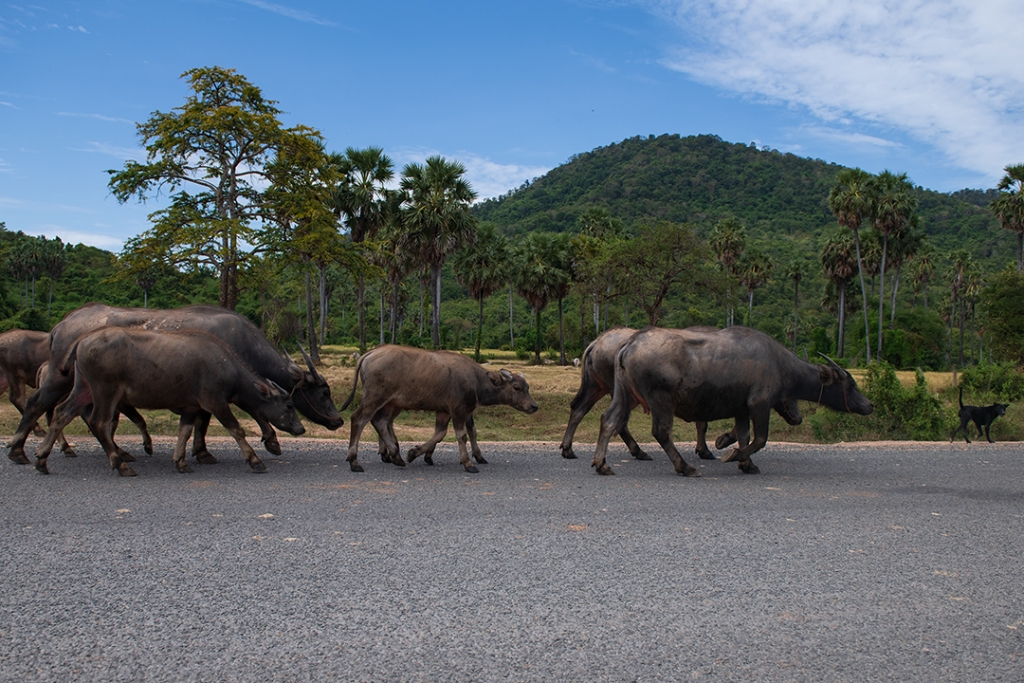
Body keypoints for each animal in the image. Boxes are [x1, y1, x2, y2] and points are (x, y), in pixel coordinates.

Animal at [34, 328, 305, 476]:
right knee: (99, 422)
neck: (226, 366)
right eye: (289, 406)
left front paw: (181, 462)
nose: (301, 428)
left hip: (83, 388)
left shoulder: (191, 407)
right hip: (105, 391)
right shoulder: (215, 403)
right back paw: (121, 464)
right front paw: (255, 461)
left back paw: (42, 460)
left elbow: (184, 431)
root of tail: (81, 341)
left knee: (61, 414)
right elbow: (237, 430)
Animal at [340, 345, 539, 473]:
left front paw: (417, 453)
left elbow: (444, 433)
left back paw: (396, 455)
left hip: (390, 403)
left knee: (380, 421)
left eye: (527, 387)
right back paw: (355, 461)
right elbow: (461, 435)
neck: (475, 379)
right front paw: (468, 463)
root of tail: (370, 353)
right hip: (376, 398)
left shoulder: (449, 411)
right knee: (359, 419)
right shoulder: (458, 410)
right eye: (516, 387)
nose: (533, 406)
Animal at [591, 326, 873, 476]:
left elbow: (744, 435)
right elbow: (759, 439)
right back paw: (685, 467)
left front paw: (746, 463)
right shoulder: (759, 404)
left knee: (609, 420)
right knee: (660, 432)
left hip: (624, 394)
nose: (869, 405)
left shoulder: (742, 409)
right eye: (850, 384)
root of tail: (630, 343)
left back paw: (601, 464)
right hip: (661, 400)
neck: (779, 364)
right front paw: (733, 455)